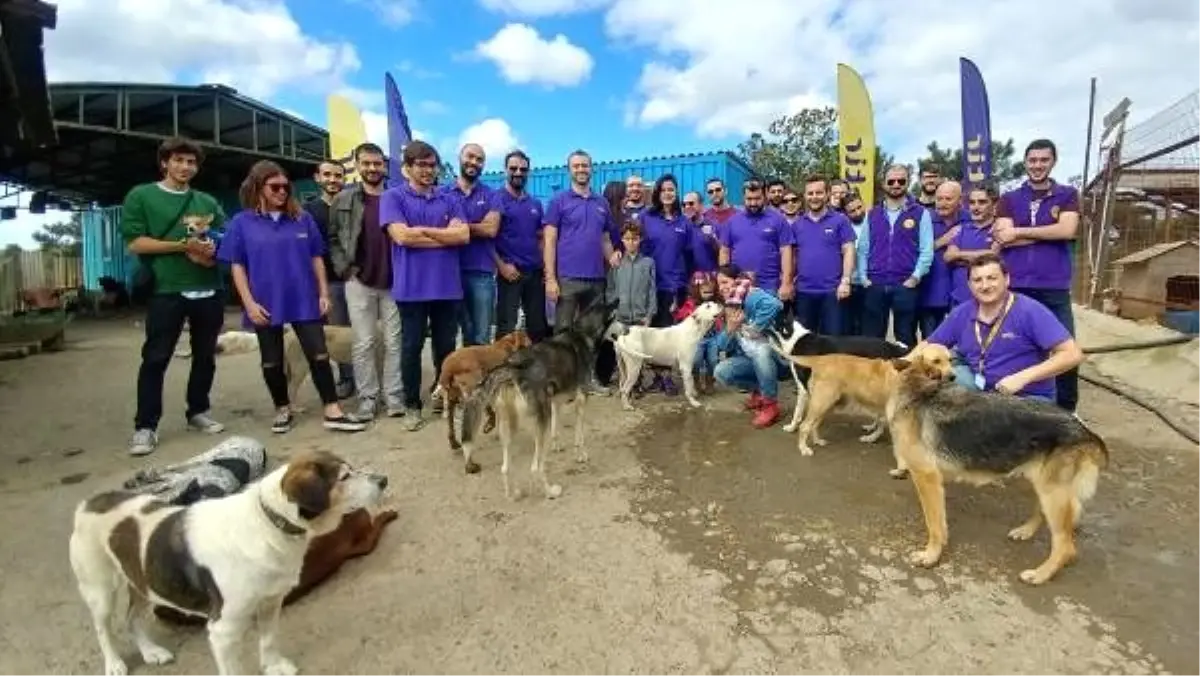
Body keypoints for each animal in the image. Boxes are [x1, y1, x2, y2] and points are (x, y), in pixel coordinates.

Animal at [69, 449, 388, 676]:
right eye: (344, 477)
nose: (384, 480)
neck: (267, 521)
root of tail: (89, 502)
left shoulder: (271, 602)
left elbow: (269, 640)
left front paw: (273, 667)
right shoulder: (223, 630)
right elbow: (233, 669)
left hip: (143, 581)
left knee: (131, 618)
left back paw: (151, 652)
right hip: (100, 589)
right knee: (103, 628)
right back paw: (114, 664)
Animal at [429, 328, 528, 465]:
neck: (507, 344)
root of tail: (448, 367)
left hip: (452, 399)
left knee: (450, 426)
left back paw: (454, 443)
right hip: (472, 393)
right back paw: (471, 463)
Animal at [453, 288, 614, 499]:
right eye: (619, 319)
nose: (628, 330)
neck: (581, 333)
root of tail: (512, 366)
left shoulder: (556, 401)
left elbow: (556, 429)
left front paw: (557, 445)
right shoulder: (580, 399)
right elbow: (579, 437)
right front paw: (581, 455)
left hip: (509, 425)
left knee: (505, 468)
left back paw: (512, 495)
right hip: (539, 421)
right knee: (536, 468)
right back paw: (550, 491)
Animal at [768, 321, 907, 439]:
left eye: (772, 320)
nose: (764, 329)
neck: (795, 338)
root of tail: (891, 346)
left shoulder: (803, 387)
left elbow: (798, 411)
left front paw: (792, 427)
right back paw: (872, 427)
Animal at [888, 345, 1108, 583]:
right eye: (938, 361)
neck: (918, 387)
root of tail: (1083, 429)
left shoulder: (927, 478)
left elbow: (935, 524)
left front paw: (931, 556)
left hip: (1053, 493)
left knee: (1066, 547)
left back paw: (1040, 575)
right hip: (1040, 482)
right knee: (1042, 514)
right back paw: (1025, 531)